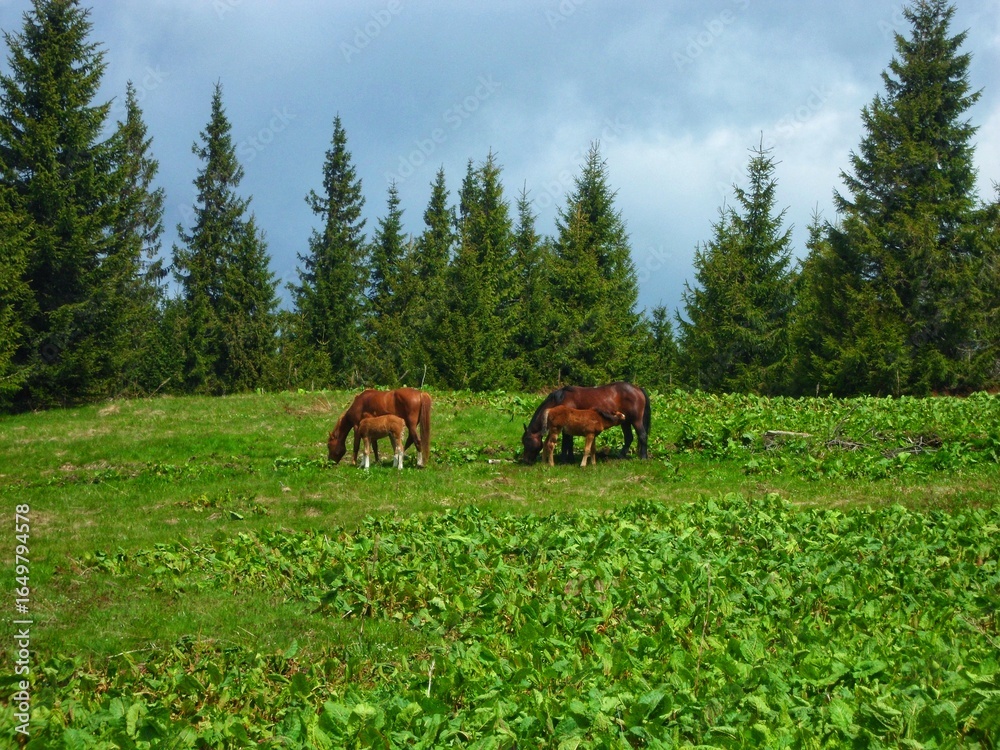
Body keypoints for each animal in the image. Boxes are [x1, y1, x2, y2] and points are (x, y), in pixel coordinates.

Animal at [521, 382, 650, 464]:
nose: (525, 460)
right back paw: (621, 456)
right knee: (629, 438)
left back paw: (643, 458)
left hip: (636, 420)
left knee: (642, 435)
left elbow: (566, 442)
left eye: (526, 441)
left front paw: (564, 460)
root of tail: (638, 389)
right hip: (625, 421)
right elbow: (570, 442)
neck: (560, 399)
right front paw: (571, 459)